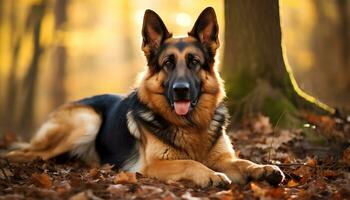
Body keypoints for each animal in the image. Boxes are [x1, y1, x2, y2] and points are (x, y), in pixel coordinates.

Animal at [5, 6, 284, 188]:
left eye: (194, 62)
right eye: (168, 63)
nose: (180, 90)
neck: (191, 126)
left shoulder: (223, 158)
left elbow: (243, 162)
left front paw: (263, 169)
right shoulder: (155, 165)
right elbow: (191, 163)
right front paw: (211, 175)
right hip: (86, 121)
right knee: (24, 152)